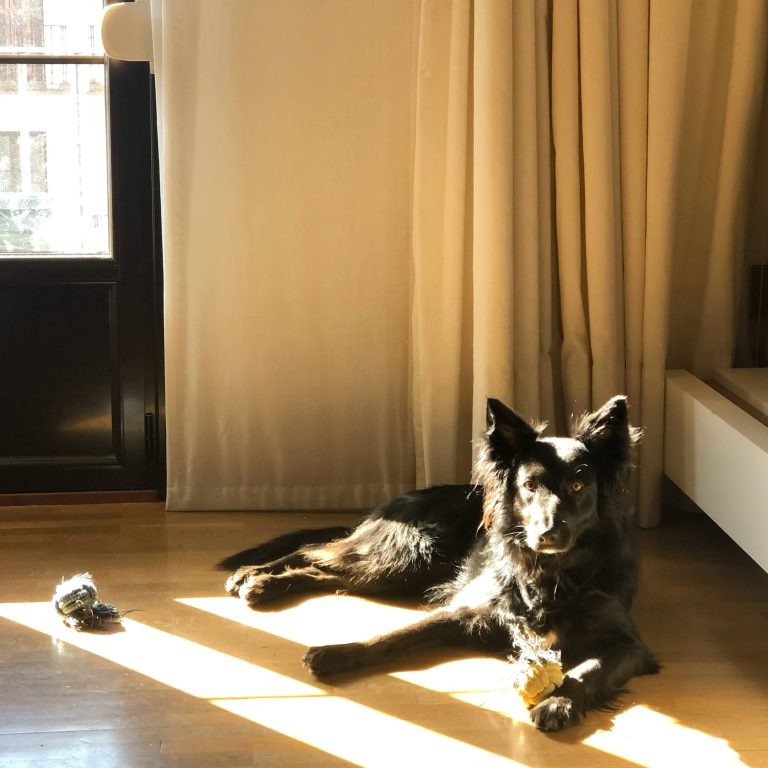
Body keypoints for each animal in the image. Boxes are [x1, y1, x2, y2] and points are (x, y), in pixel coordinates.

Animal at [218, 396, 660, 732]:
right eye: (530, 485)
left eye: (578, 485)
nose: (548, 535)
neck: (552, 573)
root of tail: (393, 503)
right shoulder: (466, 612)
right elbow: (393, 636)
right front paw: (339, 652)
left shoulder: (629, 645)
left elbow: (587, 671)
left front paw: (559, 703)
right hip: (408, 558)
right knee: (318, 550)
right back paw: (253, 577)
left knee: (323, 565)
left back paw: (260, 582)